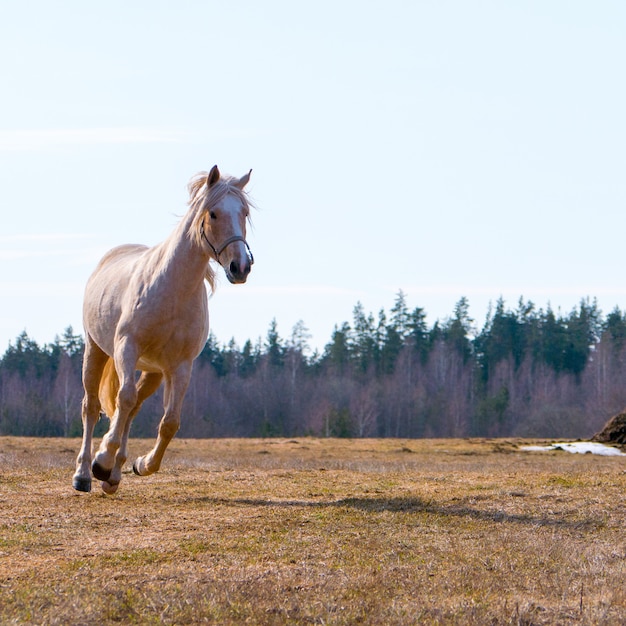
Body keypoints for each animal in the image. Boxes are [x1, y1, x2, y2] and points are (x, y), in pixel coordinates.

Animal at [75, 166, 254, 492]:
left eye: (244, 213)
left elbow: (169, 422)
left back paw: (113, 477)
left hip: (153, 372)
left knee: (131, 410)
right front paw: (101, 460)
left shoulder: (179, 366)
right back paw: (84, 473)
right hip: (95, 350)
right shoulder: (127, 348)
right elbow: (122, 399)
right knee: (92, 406)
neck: (171, 289)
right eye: (213, 214)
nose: (240, 267)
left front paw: (141, 464)